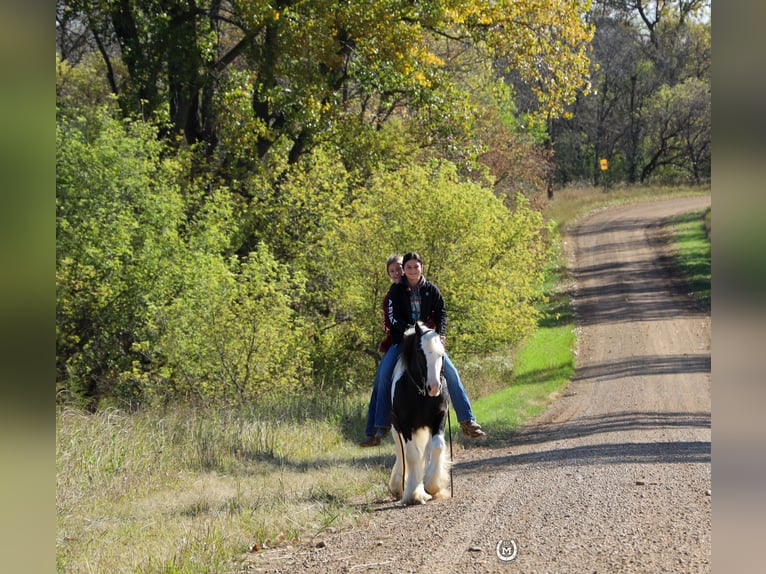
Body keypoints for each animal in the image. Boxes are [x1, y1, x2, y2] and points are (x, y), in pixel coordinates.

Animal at [390, 322, 450, 506]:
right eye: (420, 352)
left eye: (441, 354)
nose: (435, 387)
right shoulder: (405, 425)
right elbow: (412, 455)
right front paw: (415, 493)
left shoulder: (439, 418)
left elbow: (437, 446)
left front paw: (432, 485)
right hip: (395, 428)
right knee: (400, 452)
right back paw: (398, 486)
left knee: (427, 450)